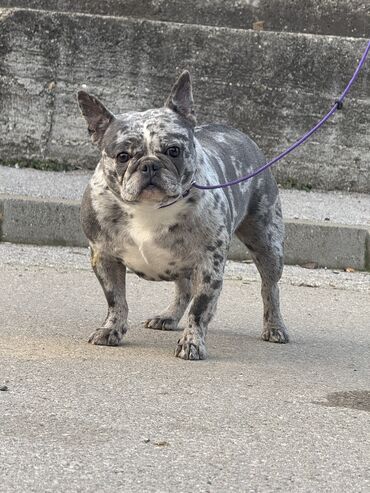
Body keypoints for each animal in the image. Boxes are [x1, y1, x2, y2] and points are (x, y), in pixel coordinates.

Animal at [76, 71, 288, 360]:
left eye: (173, 150)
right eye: (122, 156)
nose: (149, 165)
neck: (149, 208)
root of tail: (239, 133)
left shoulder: (209, 266)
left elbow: (200, 309)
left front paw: (192, 342)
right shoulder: (104, 256)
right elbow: (116, 299)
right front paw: (111, 329)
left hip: (266, 242)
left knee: (270, 287)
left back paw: (274, 326)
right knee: (183, 289)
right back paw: (168, 316)